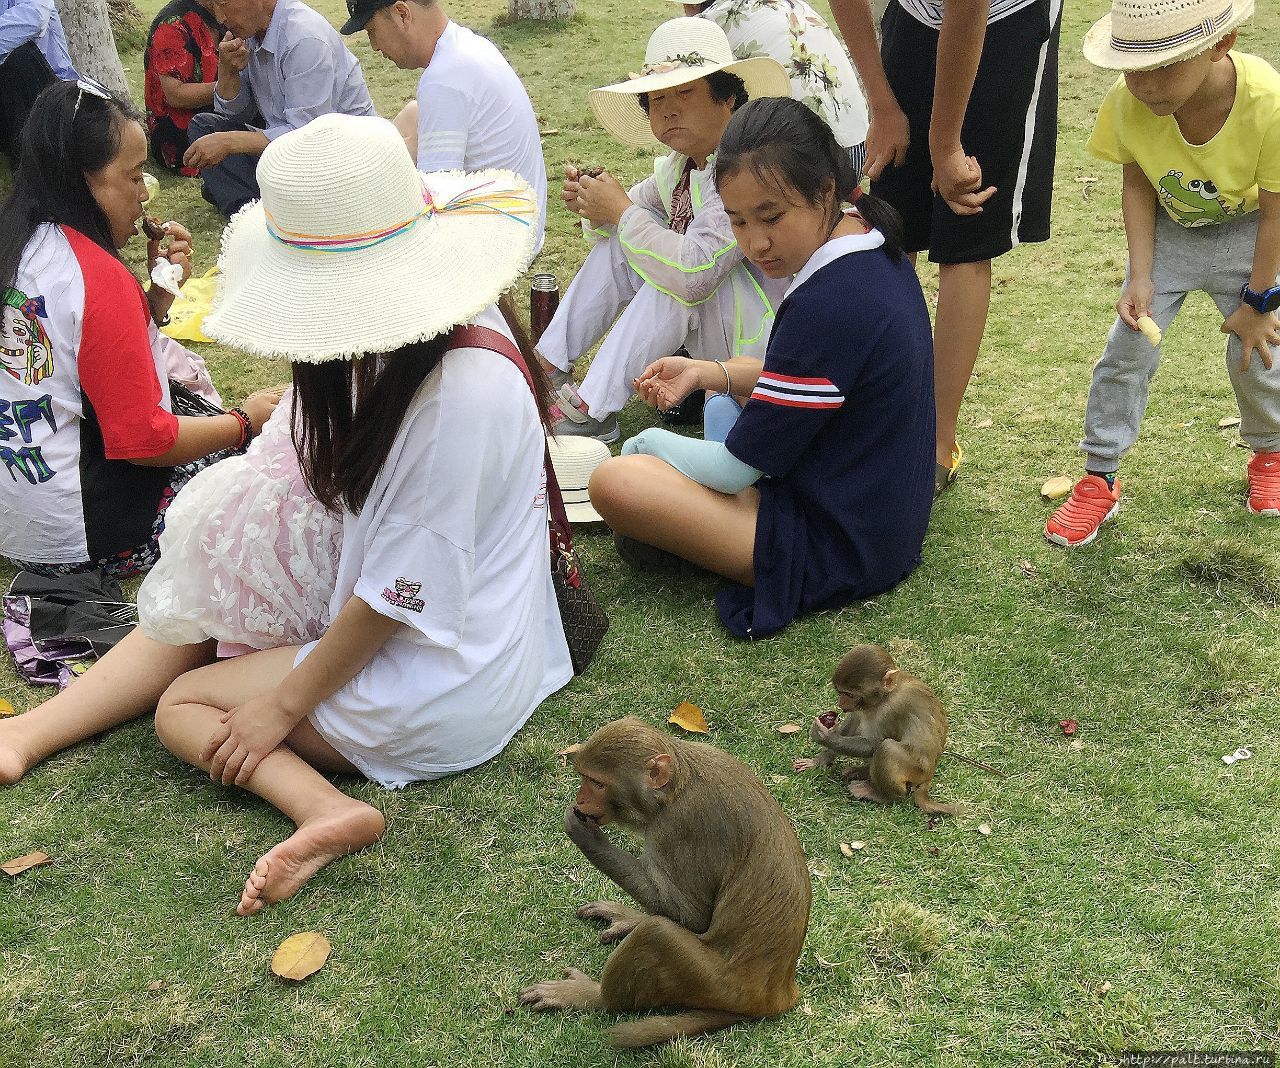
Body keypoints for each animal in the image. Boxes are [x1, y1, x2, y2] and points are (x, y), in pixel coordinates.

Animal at [519, 712, 808, 1044]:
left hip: (714, 984)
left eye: (597, 783)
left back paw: (595, 996)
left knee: (657, 933)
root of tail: (778, 996)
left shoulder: (680, 828)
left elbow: (694, 918)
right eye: (584, 778)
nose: (580, 798)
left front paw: (587, 838)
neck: (675, 789)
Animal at [788, 640, 962, 814]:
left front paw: (825, 736)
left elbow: (873, 744)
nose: (841, 704)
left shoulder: (891, 710)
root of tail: (930, 773)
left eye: (849, 694)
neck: (886, 696)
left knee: (887, 748)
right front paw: (818, 761)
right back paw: (862, 772)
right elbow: (853, 722)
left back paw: (883, 795)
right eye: (840, 693)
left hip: (917, 771)